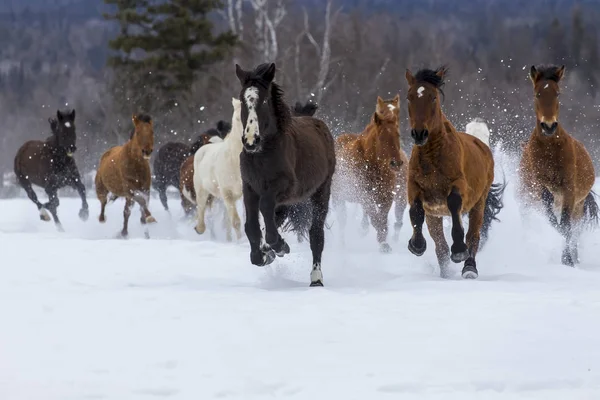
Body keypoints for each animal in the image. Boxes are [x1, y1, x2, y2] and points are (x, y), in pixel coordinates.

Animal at [192, 97, 244, 242]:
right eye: (238, 118)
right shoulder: (227, 193)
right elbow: (236, 222)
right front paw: (241, 241)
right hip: (202, 191)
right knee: (201, 209)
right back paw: (199, 228)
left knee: (226, 221)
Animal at [236, 61, 338, 288]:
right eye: (242, 100)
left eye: (264, 100)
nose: (250, 141)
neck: (263, 154)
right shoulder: (250, 187)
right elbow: (251, 226)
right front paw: (262, 255)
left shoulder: (283, 187)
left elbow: (265, 208)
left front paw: (280, 246)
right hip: (287, 203)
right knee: (274, 220)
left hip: (320, 192)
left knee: (316, 235)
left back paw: (316, 278)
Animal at [330, 94, 406, 252]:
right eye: (381, 137)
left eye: (398, 135)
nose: (396, 163)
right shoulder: (364, 196)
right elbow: (375, 219)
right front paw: (383, 244)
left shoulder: (386, 197)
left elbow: (382, 219)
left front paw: (383, 243)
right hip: (338, 197)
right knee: (342, 221)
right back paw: (341, 245)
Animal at [404, 66, 506, 278]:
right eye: (409, 97)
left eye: (433, 97)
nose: (419, 134)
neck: (432, 158)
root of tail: (482, 145)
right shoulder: (415, 188)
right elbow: (416, 210)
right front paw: (416, 245)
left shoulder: (459, 186)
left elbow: (454, 202)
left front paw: (458, 250)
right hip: (435, 216)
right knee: (440, 245)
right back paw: (445, 273)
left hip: (479, 204)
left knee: (473, 236)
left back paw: (469, 268)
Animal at [516, 65, 596, 266]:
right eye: (537, 94)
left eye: (557, 93)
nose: (549, 126)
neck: (550, 150)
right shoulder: (542, 188)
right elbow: (554, 221)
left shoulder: (569, 190)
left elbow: (566, 225)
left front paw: (567, 260)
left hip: (579, 204)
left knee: (575, 228)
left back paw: (574, 257)